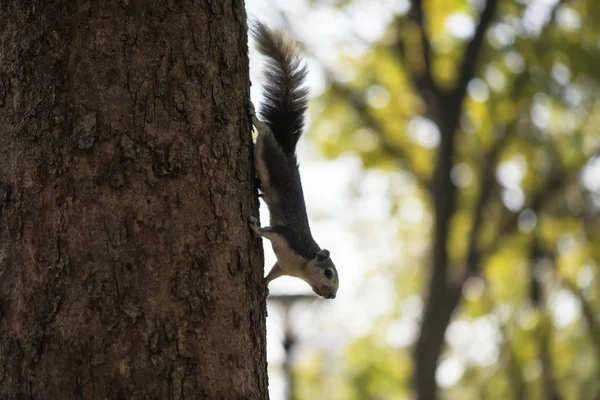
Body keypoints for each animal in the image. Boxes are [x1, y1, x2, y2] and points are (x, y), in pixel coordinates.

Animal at [247, 20, 338, 298]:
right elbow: (270, 230)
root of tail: (288, 150)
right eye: (328, 273)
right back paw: (254, 116)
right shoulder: (287, 237)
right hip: (268, 146)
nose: (332, 295)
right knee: (264, 128)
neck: (302, 264)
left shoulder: (283, 265)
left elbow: (272, 274)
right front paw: (254, 227)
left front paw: (265, 286)